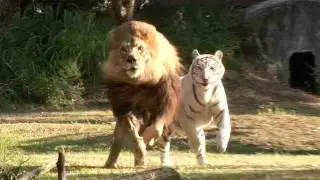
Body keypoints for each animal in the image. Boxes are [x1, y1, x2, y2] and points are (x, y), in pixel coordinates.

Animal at [101, 20, 184, 168]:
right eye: (123, 49)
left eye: (140, 48)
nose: (131, 59)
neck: (139, 81)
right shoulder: (120, 102)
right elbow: (129, 125)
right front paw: (140, 146)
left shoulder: (166, 98)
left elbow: (157, 128)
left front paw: (146, 139)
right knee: (118, 138)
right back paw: (112, 163)